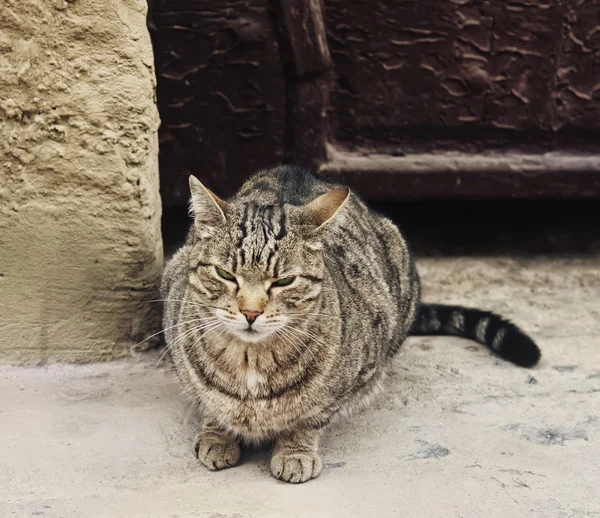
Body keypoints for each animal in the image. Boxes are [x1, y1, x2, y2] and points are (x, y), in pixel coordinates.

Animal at [162, 166, 540, 484]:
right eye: (225, 274)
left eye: (284, 281)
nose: (250, 312)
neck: (250, 361)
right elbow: (207, 401)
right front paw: (217, 434)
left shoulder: (356, 374)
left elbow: (311, 418)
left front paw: (295, 451)